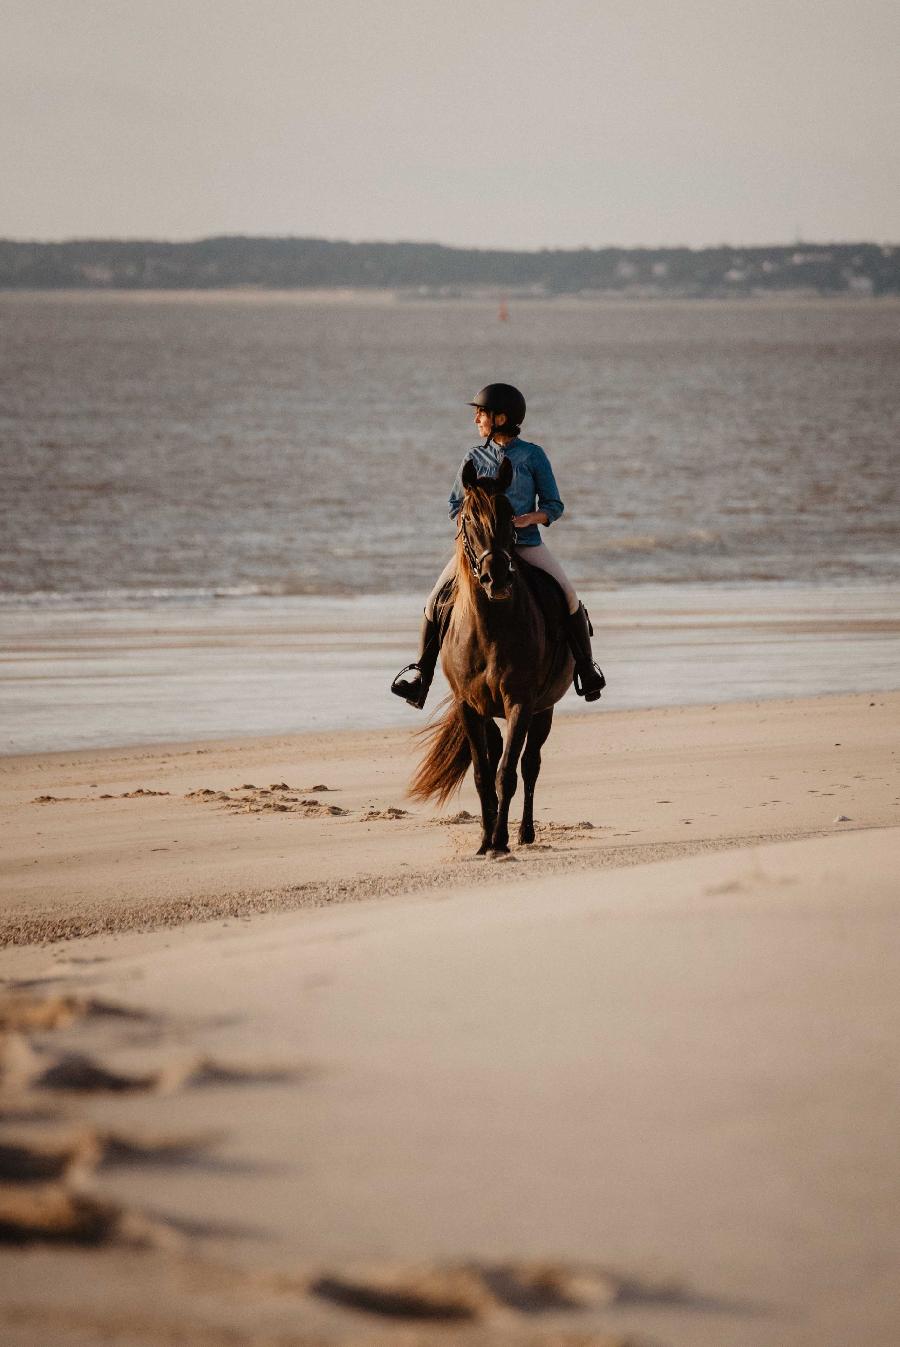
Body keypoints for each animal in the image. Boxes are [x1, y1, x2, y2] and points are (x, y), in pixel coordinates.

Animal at [412, 457, 573, 856]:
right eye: (469, 517)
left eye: (510, 514)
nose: (495, 579)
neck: (489, 629)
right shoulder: (470, 706)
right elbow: (483, 773)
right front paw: (485, 840)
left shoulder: (521, 702)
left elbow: (507, 773)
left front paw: (500, 841)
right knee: (499, 751)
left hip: (544, 709)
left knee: (530, 765)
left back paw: (525, 833)